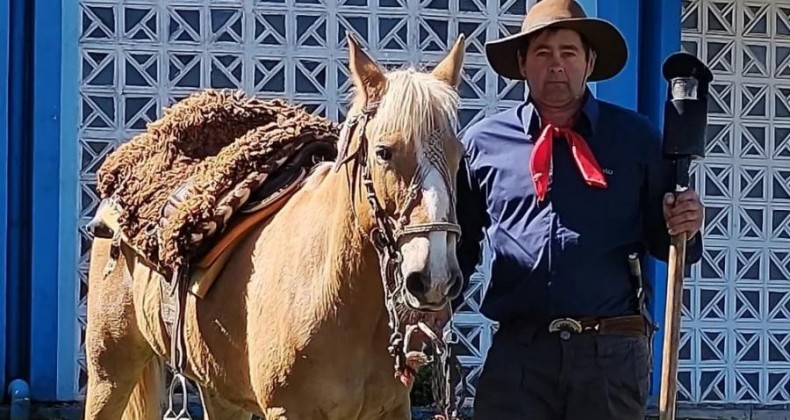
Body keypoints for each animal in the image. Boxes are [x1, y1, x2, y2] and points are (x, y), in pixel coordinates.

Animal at [85, 32, 470, 420]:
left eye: (459, 155)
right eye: (383, 152)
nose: (435, 276)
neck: (331, 288)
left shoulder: (392, 409)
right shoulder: (286, 409)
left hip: (218, 390)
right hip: (109, 371)